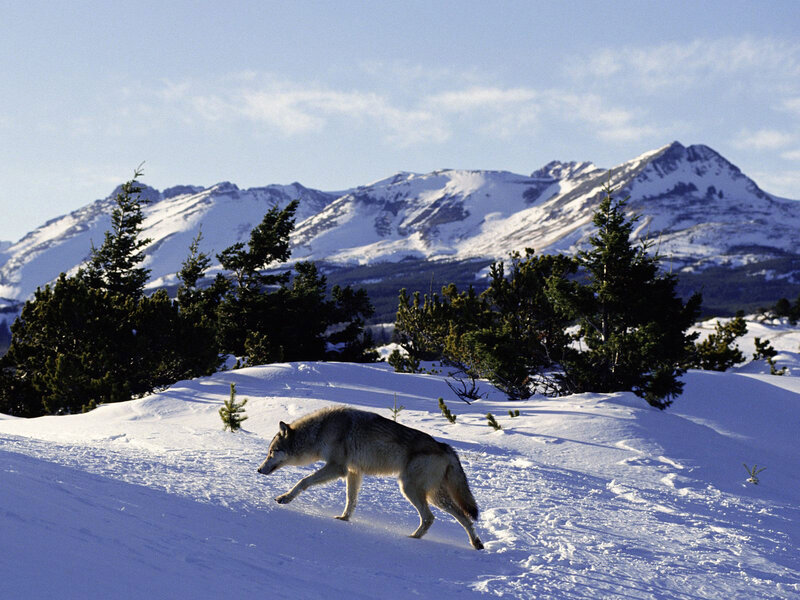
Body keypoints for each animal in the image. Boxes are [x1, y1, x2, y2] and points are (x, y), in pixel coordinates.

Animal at [257, 406, 484, 550]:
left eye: (271, 452)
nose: (259, 470)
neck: (321, 431)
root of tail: (445, 447)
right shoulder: (353, 472)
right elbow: (351, 500)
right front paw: (344, 519)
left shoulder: (337, 468)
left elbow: (303, 481)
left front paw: (285, 498)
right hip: (435, 497)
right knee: (464, 517)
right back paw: (477, 544)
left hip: (410, 489)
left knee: (430, 518)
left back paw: (412, 538)